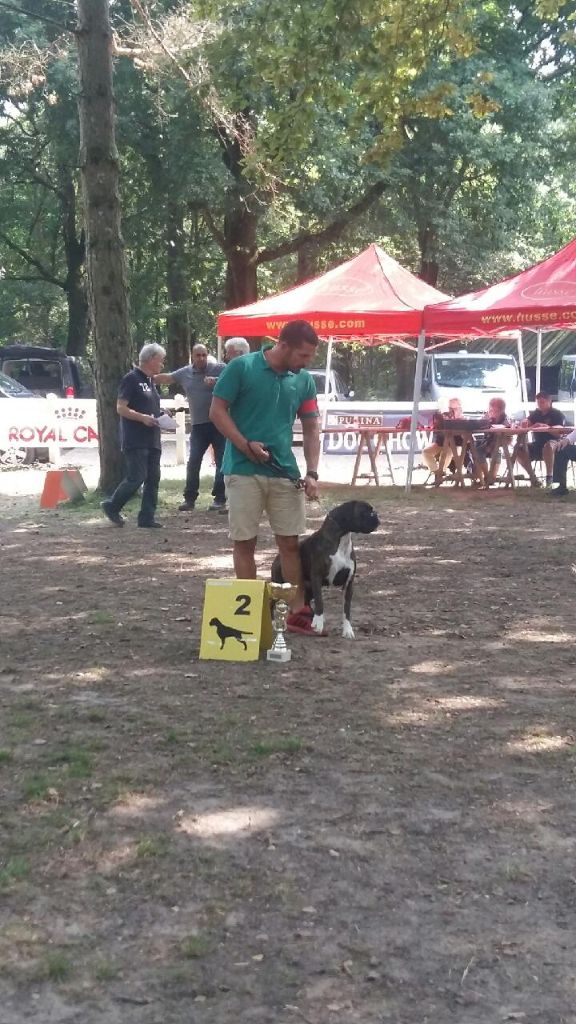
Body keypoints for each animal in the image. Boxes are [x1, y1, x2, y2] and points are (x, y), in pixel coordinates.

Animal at [268, 501, 377, 638]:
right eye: (366, 511)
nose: (377, 515)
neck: (341, 541)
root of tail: (277, 557)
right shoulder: (317, 577)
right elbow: (320, 601)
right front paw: (318, 623)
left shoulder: (349, 583)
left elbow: (346, 609)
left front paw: (347, 630)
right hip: (281, 586)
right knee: (272, 602)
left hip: (308, 589)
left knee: (306, 602)